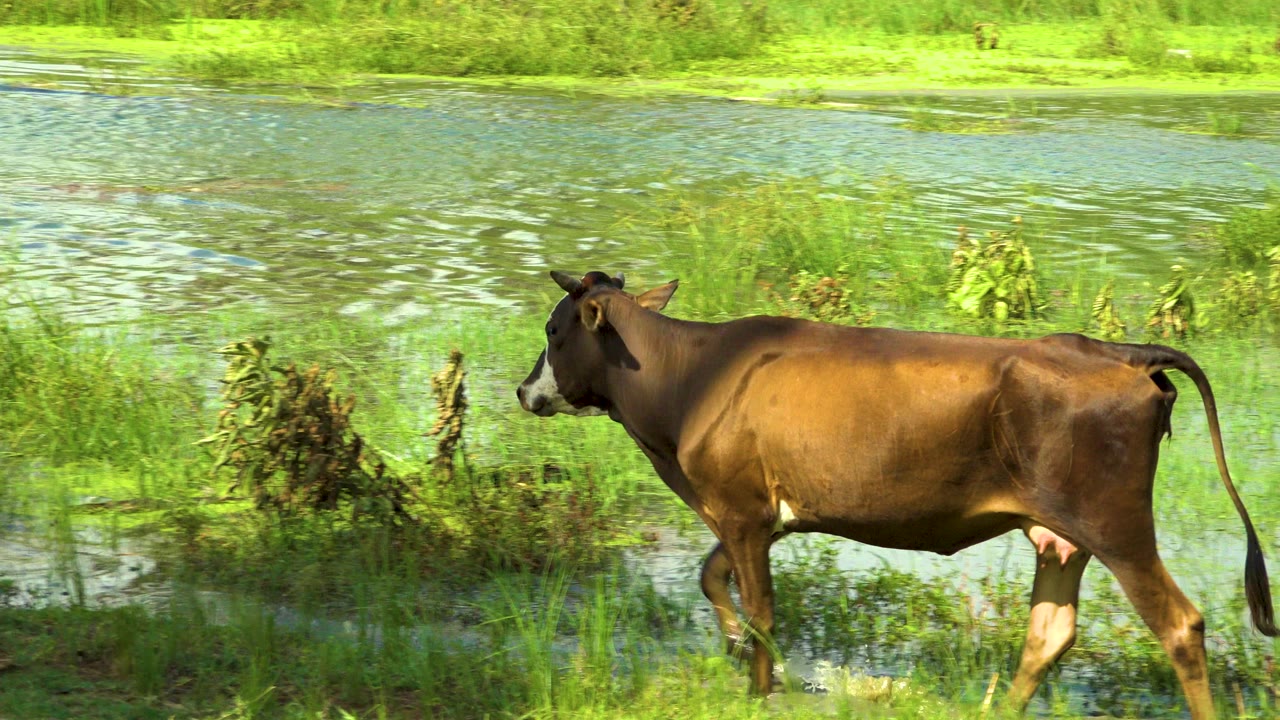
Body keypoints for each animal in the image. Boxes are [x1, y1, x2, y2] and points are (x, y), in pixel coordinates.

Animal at [515, 270, 1277, 719]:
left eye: (553, 330)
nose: (526, 391)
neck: (689, 382)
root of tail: (1120, 352)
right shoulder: (760, 514)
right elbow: (712, 578)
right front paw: (735, 650)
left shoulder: (739, 508)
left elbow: (760, 610)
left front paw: (758, 686)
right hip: (1062, 534)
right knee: (1050, 631)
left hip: (1115, 523)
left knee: (1179, 625)